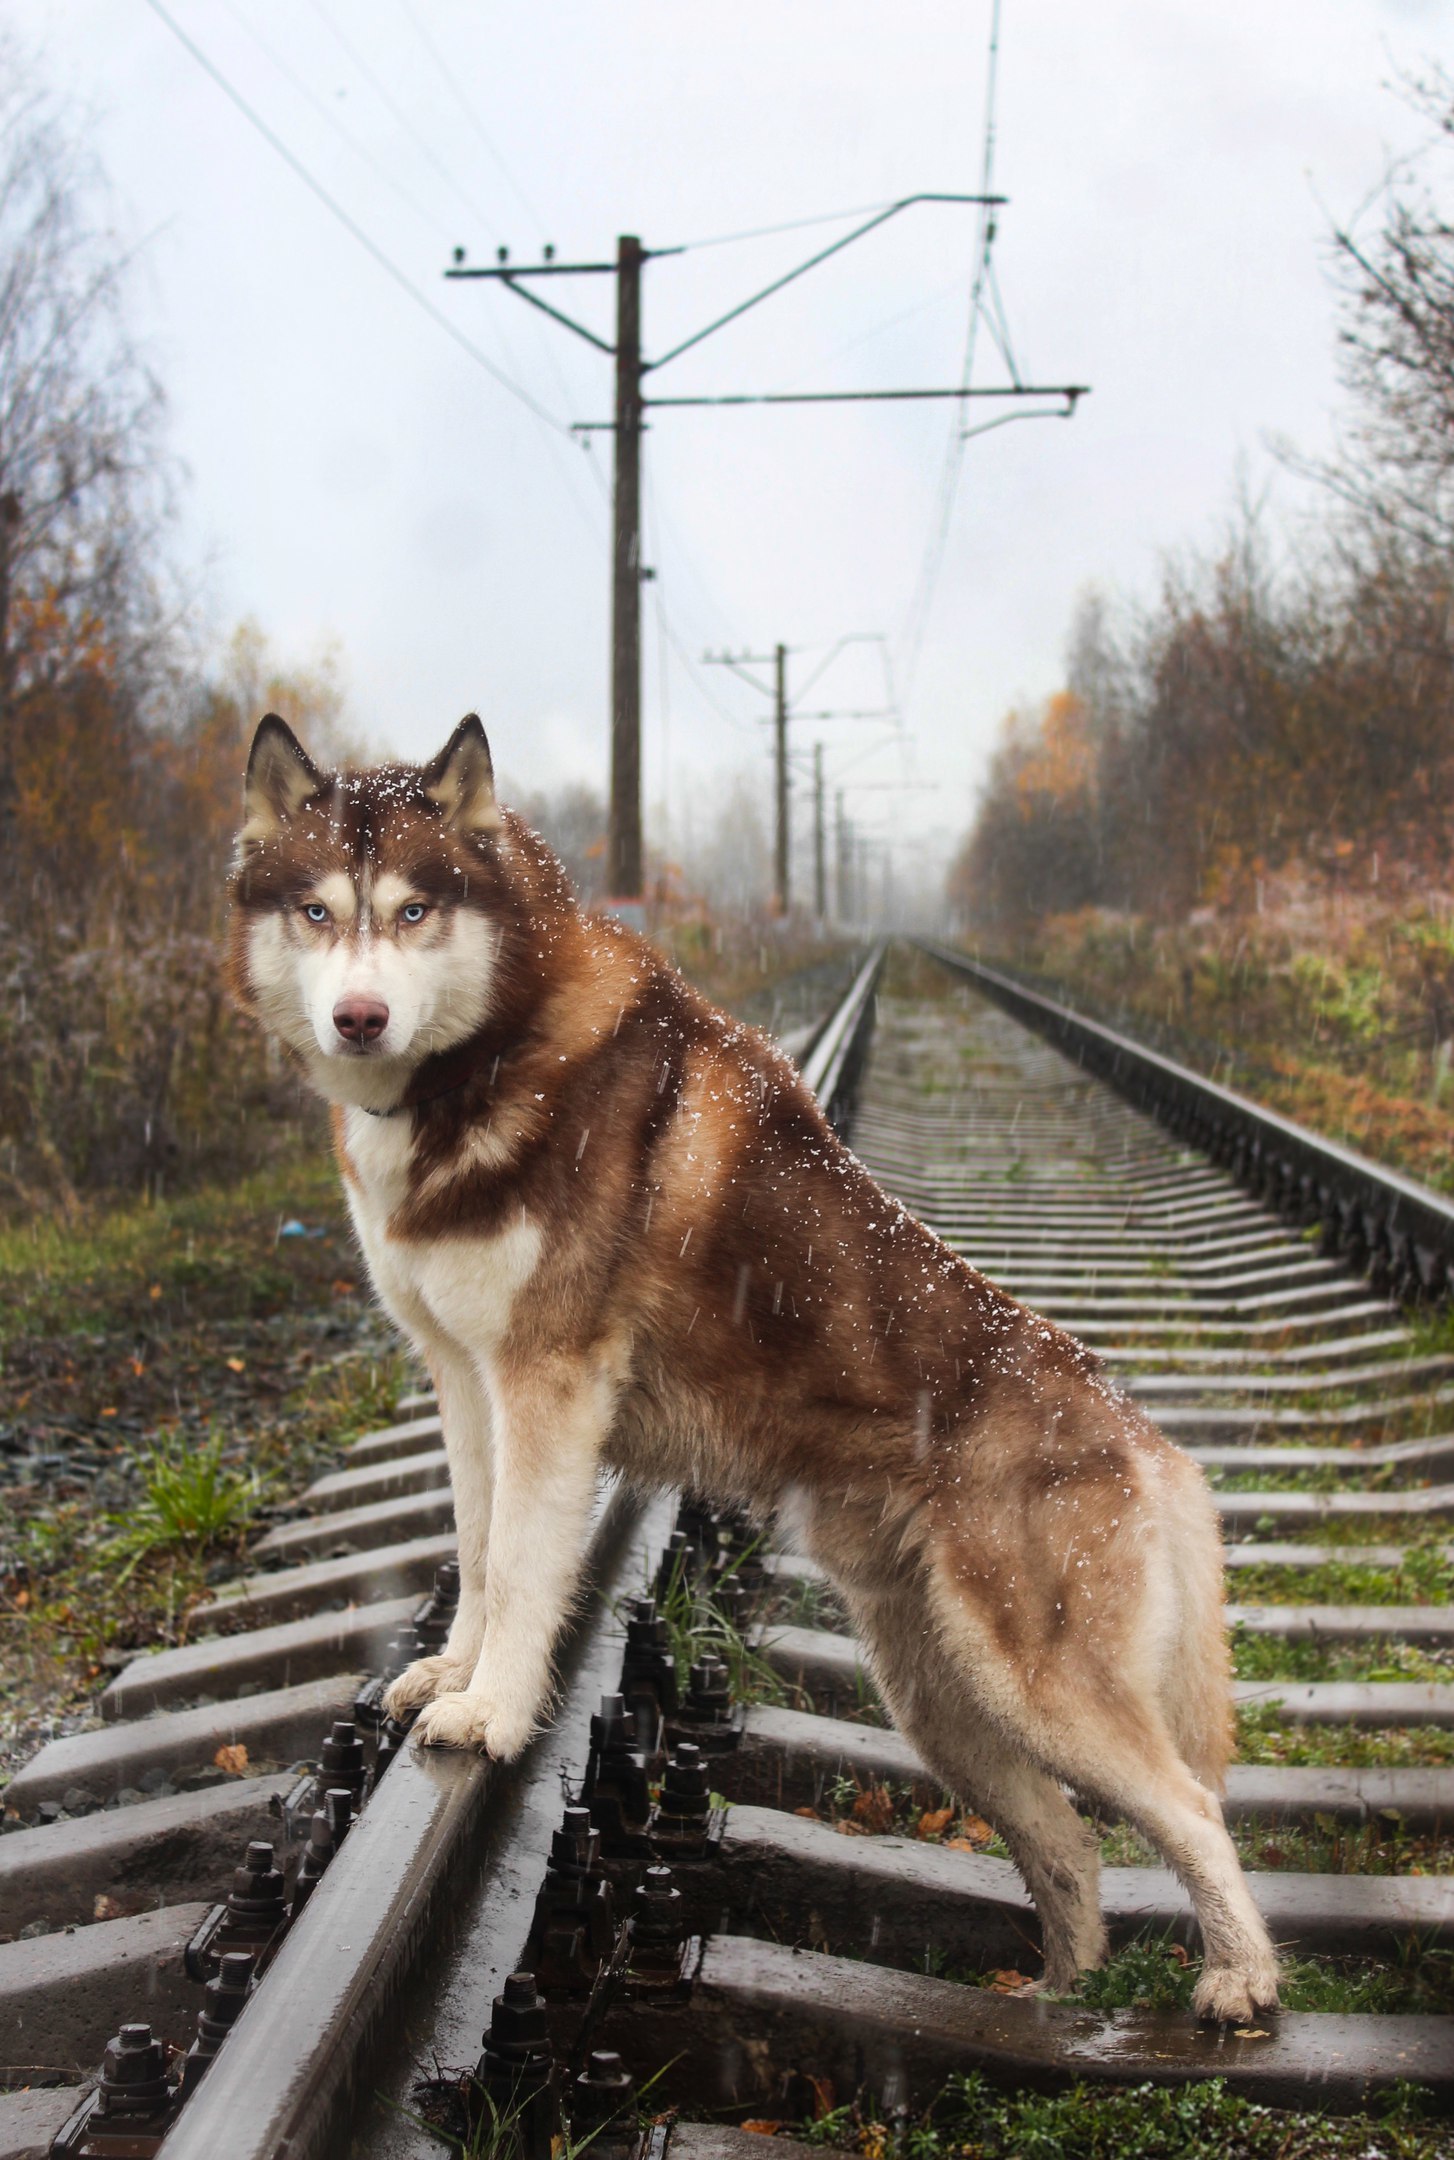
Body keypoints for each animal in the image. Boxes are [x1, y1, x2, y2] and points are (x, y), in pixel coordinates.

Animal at [226, 712, 1279, 2021]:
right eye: (318, 911)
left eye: (415, 909)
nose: (359, 1018)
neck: (491, 1052)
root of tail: (1142, 1430)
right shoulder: (464, 1380)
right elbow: (474, 1550)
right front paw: (452, 1675)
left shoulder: (547, 1382)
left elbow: (522, 1570)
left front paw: (495, 1717)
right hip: (940, 1702)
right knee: (1068, 1843)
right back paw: (1053, 2004)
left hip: (1037, 1684)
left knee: (1190, 1811)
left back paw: (1237, 1984)